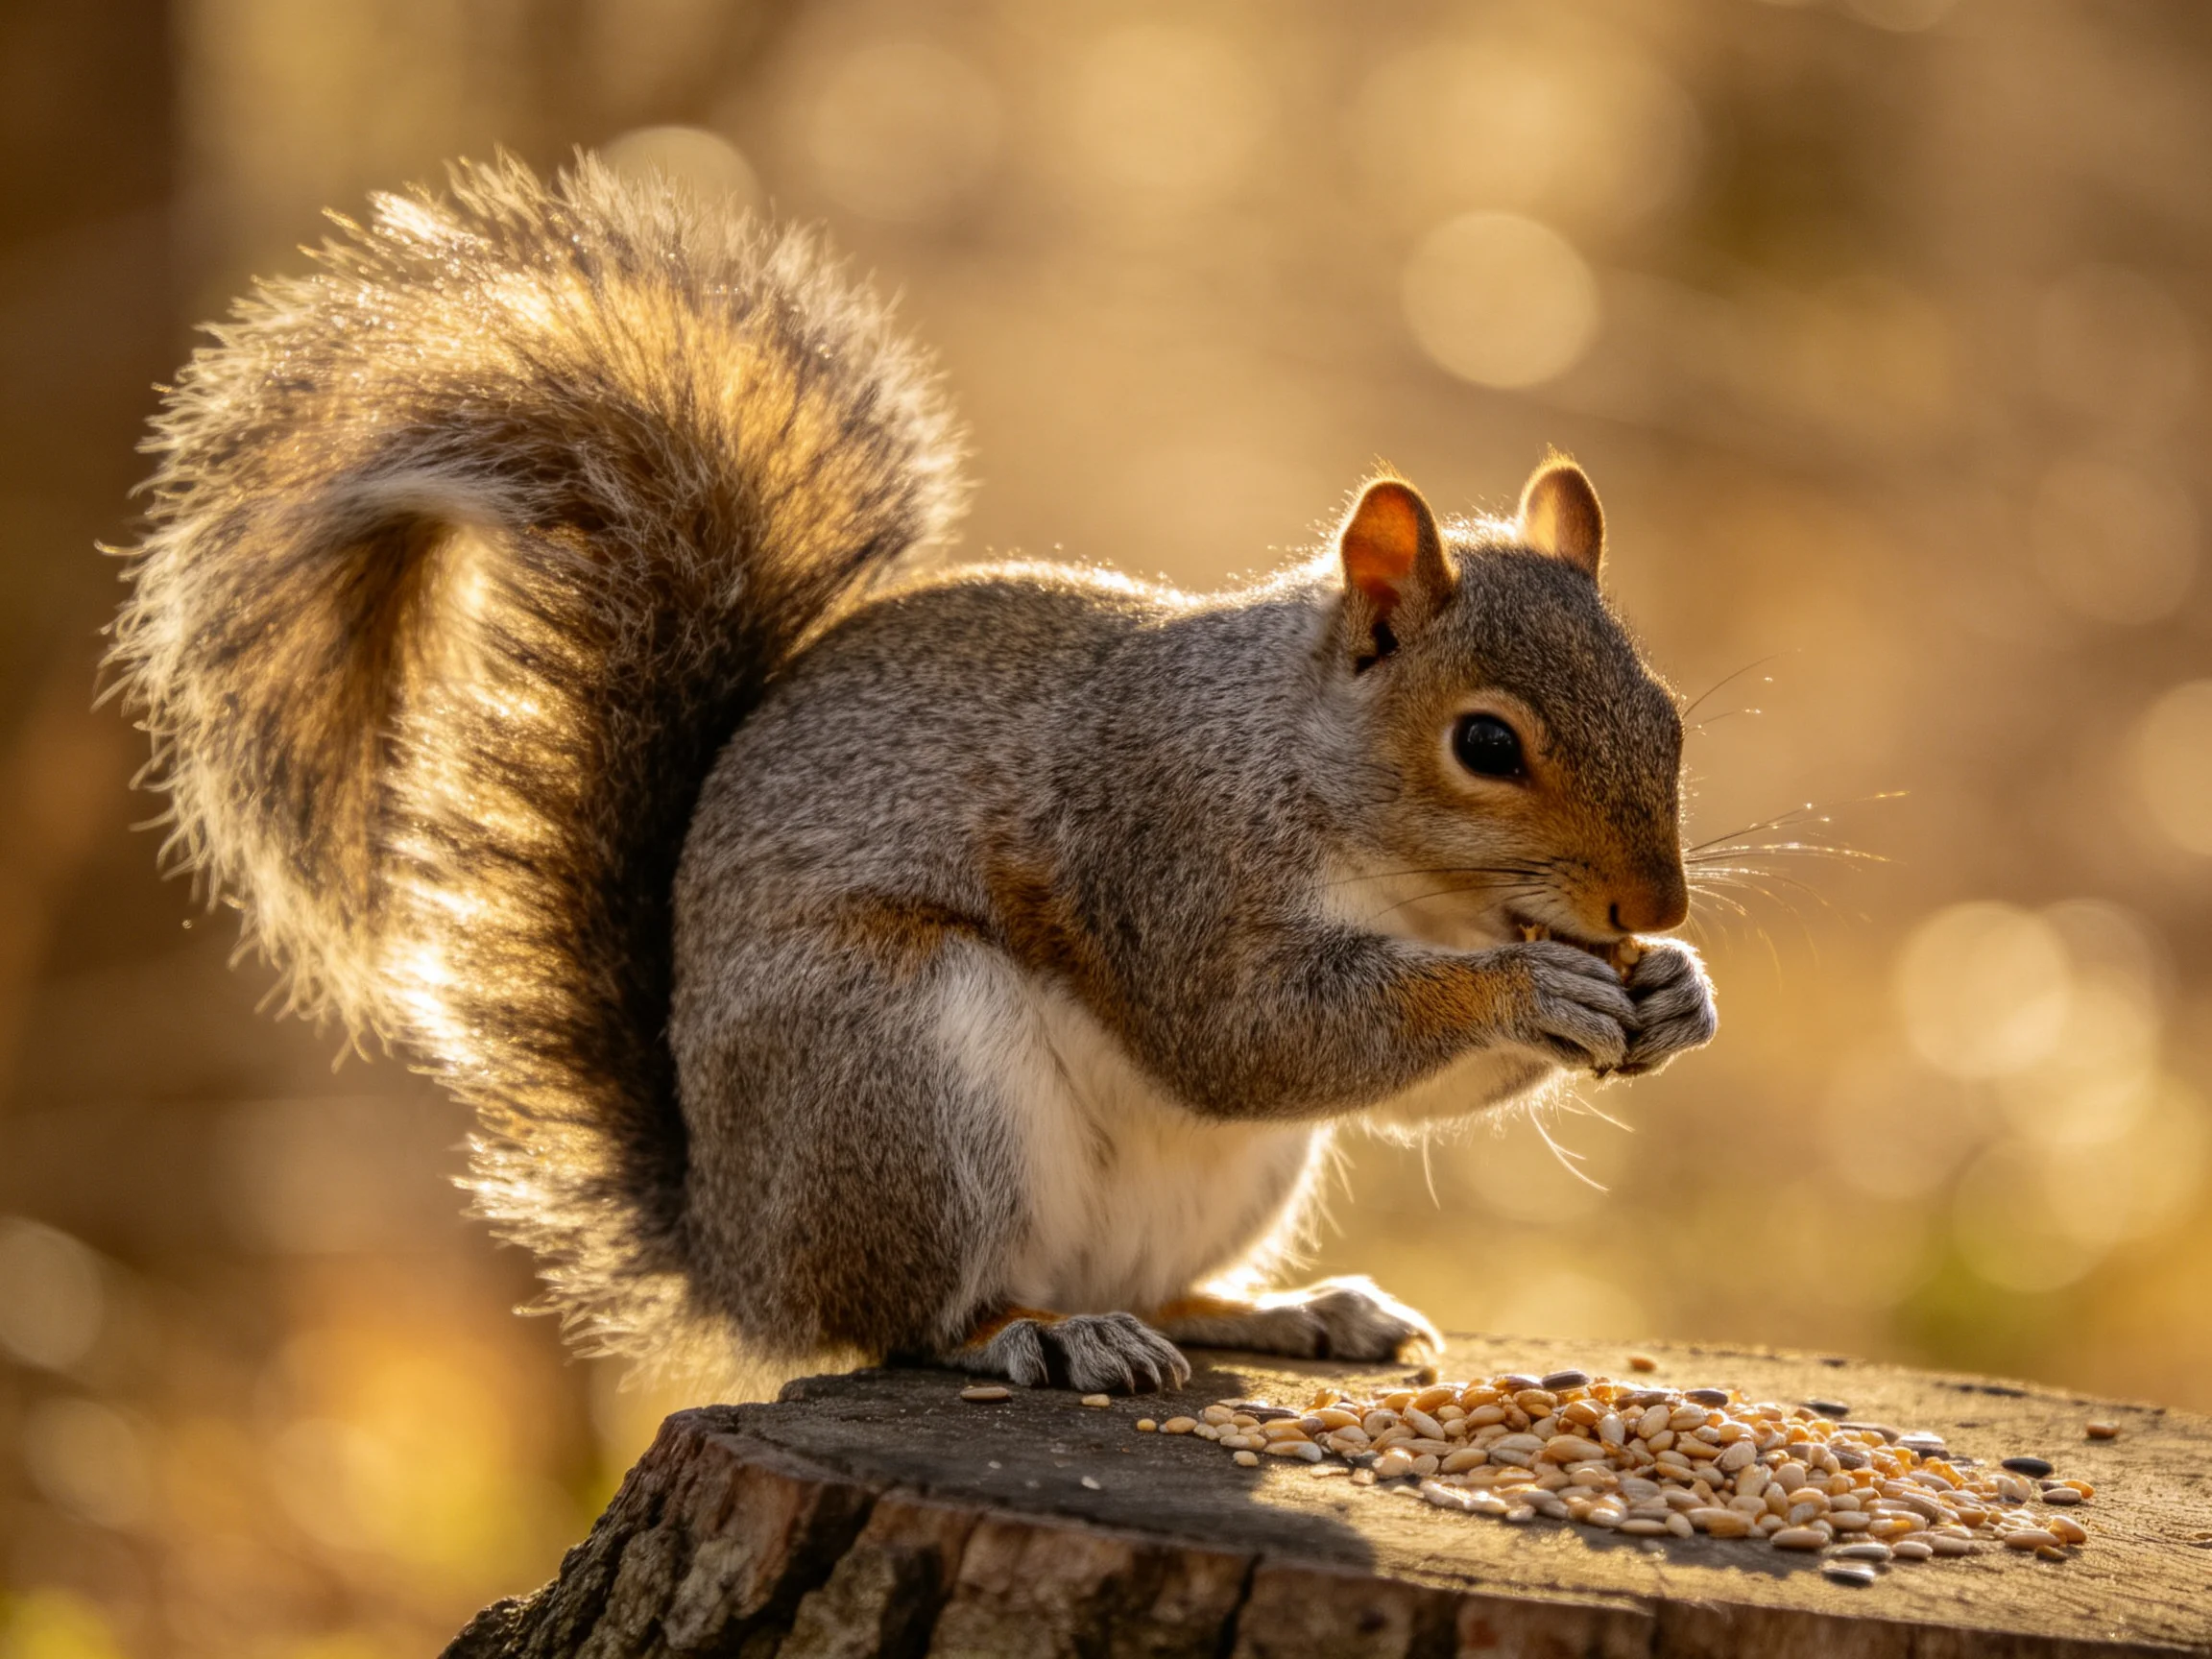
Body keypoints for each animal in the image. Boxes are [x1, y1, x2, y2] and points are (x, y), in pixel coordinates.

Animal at [108, 157, 1717, 1394]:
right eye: (1487, 744)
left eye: (1671, 715)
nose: (1653, 904)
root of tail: (742, 1254)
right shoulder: (1159, 847)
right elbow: (1248, 1037)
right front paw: (1526, 994)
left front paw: (1675, 995)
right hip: (902, 1073)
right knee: (917, 1320)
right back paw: (1041, 1339)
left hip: (1218, 1182)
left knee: (1160, 1287)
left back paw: (1283, 1311)